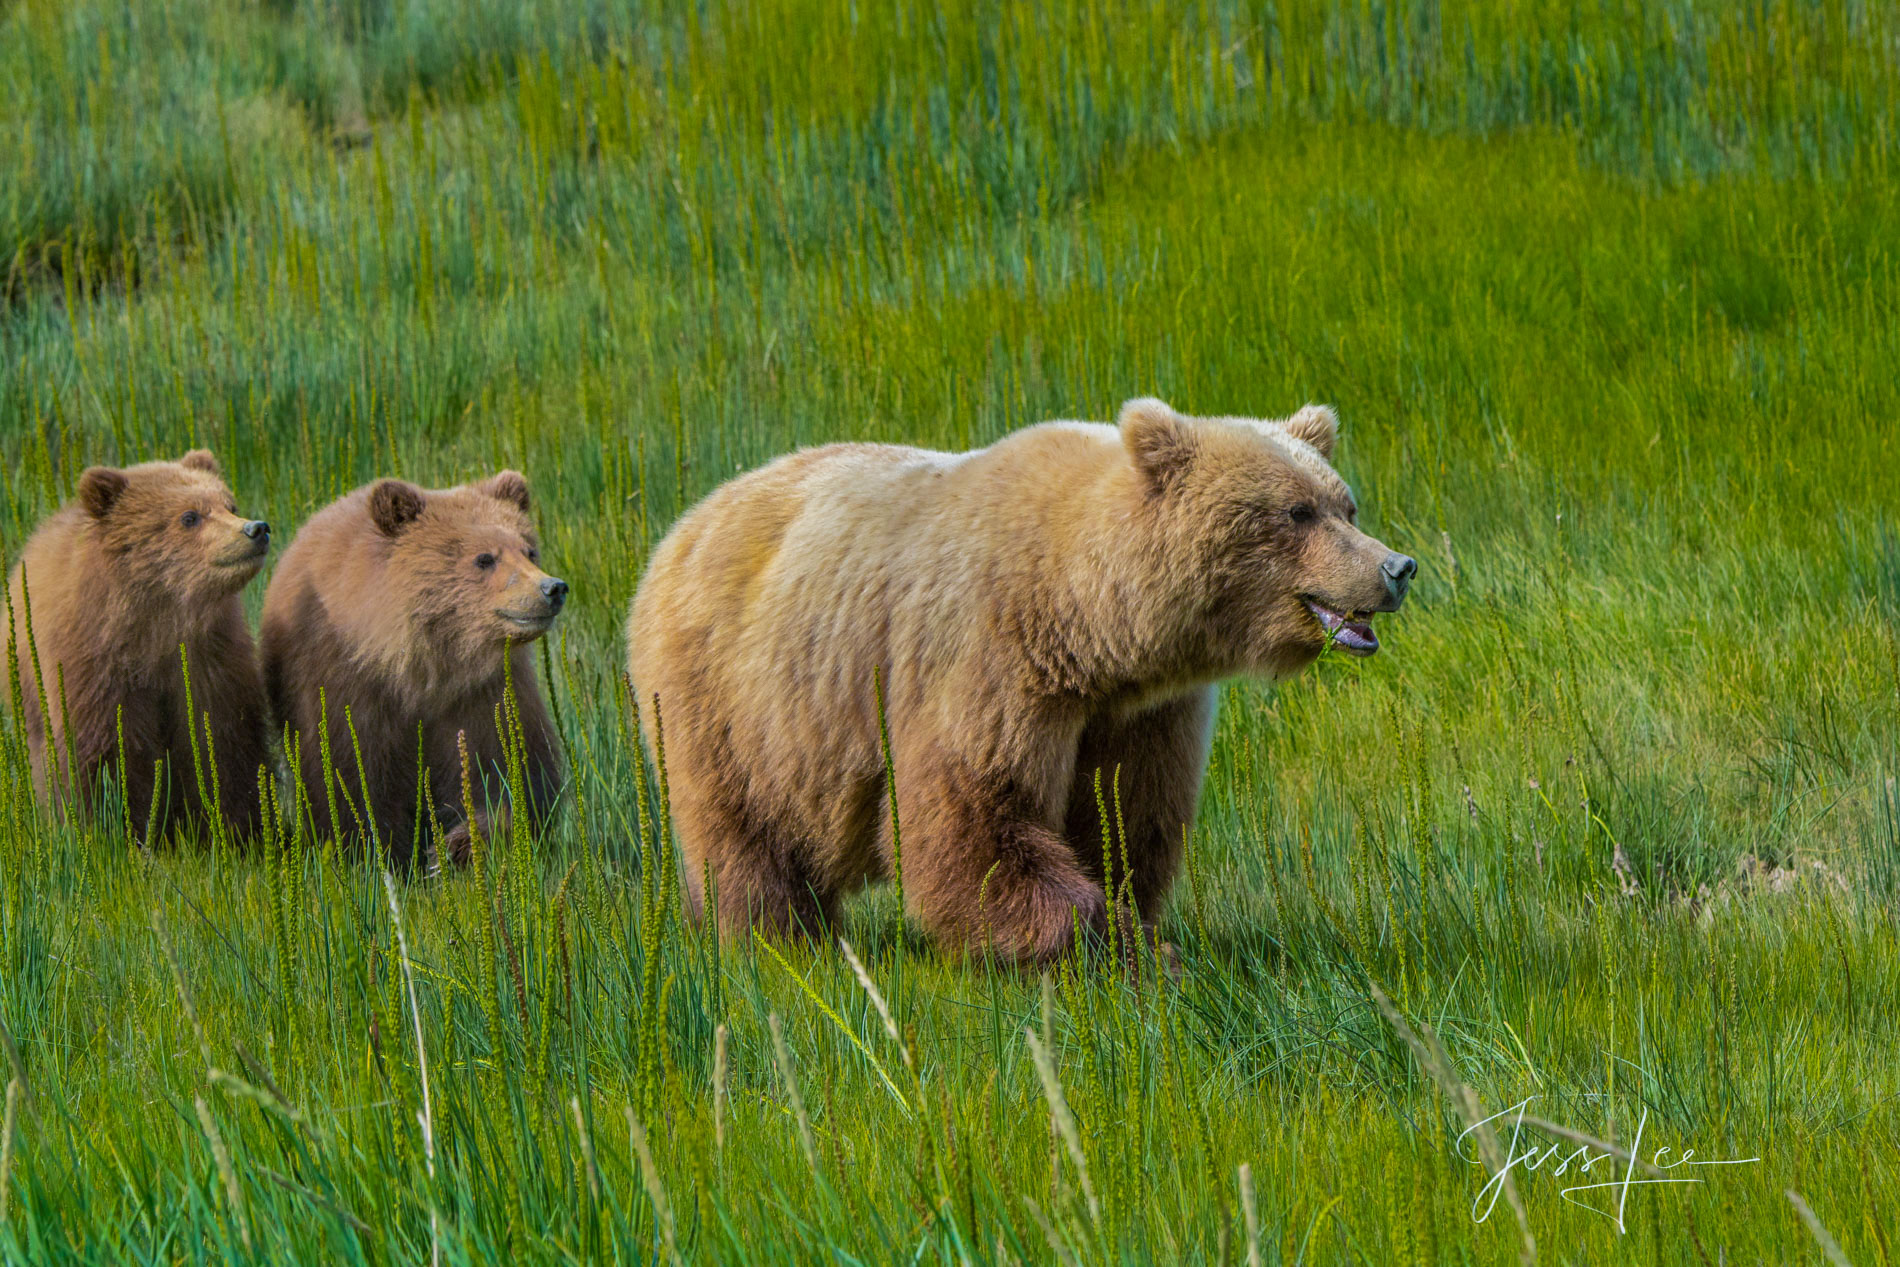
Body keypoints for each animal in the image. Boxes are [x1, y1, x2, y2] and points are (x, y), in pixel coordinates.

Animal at [5, 453, 275, 843]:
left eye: (230, 505)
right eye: (189, 516)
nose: (256, 529)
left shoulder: (209, 660)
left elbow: (219, 743)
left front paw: (233, 827)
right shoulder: (93, 668)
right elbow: (104, 754)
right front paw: (113, 829)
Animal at [264, 472, 566, 873]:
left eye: (529, 550)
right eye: (484, 558)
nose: (552, 588)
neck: (424, 670)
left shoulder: (484, 694)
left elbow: (508, 769)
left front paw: (456, 846)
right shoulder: (347, 687)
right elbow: (351, 780)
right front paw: (384, 857)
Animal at [630, 397, 1421, 961]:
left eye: (1346, 504)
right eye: (1297, 510)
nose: (1397, 567)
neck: (1085, 620)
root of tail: (680, 528)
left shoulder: (1138, 711)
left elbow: (1122, 814)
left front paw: (1131, 925)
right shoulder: (987, 664)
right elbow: (980, 815)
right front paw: (1109, 946)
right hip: (728, 698)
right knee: (744, 833)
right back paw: (778, 940)